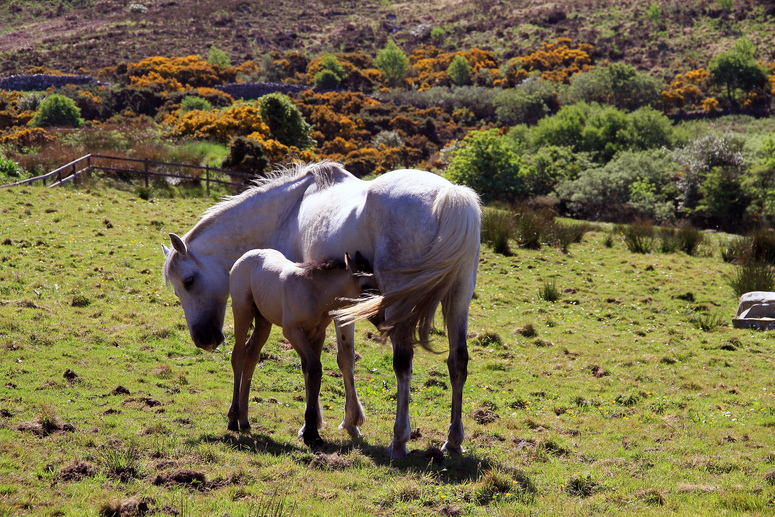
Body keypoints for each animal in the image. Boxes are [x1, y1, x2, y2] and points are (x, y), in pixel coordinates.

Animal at [229, 248, 374, 446]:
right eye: (365, 287)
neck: (314, 293)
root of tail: (247, 255)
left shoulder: (318, 334)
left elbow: (312, 371)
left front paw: (311, 430)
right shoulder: (292, 332)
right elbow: (313, 368)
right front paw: (311, 433)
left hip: (263, 319)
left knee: (252, 354)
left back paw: (244, 420)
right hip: (242, 310)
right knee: (238, 355)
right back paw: (233, 419)